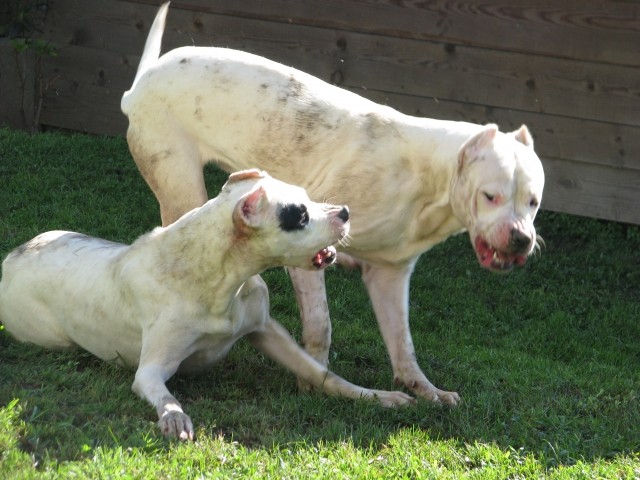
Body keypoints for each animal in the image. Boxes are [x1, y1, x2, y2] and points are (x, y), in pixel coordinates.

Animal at [0, 170, 416, 442]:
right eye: (298, 215)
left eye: (307, 197)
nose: (344, 211)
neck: (220, 278)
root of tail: (10, 258)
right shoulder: (150, 371)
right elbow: (165, 396)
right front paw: (174, 417)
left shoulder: (268, 331)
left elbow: (325, 375)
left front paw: (378, 397)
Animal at [121, 3, 544, 406]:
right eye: (491, 196)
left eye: (534, 202)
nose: (522, 239)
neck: (427, 182)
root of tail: (140, 83)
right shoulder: (306, 252)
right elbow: (320, 325)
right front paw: (315, 381)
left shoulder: (390, 276)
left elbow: (403, 344)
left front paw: (426, 390)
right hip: (180, 186)